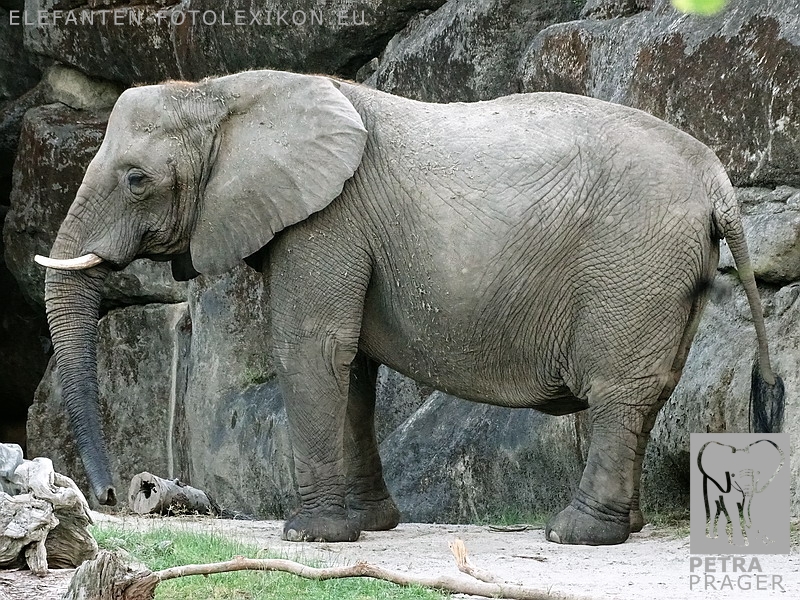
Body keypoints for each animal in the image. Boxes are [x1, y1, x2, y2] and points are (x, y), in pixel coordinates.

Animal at [34, 69, 784, 546]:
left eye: (136, 179)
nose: (118, 495)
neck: (226, 94)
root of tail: (718, 178)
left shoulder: (327, 220)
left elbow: (312, 349)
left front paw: (311, 534)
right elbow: (353, 367)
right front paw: (370, 526)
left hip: (632, 261)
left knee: (619, 391)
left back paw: (575, 535)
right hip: (661, 272)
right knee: (644, 395)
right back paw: (620, 528)